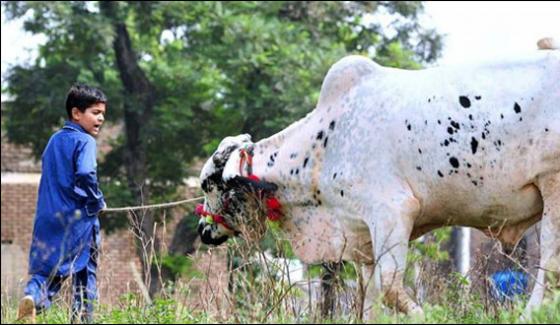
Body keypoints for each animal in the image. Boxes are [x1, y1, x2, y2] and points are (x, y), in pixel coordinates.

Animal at [198, 39, 560, 318]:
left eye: (208, 185)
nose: (203, 230)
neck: (320, 146)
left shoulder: (391, 212)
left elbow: (390, 287)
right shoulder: (362, 239)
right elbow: (369, 299)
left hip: (553, 185)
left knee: (550, 263)